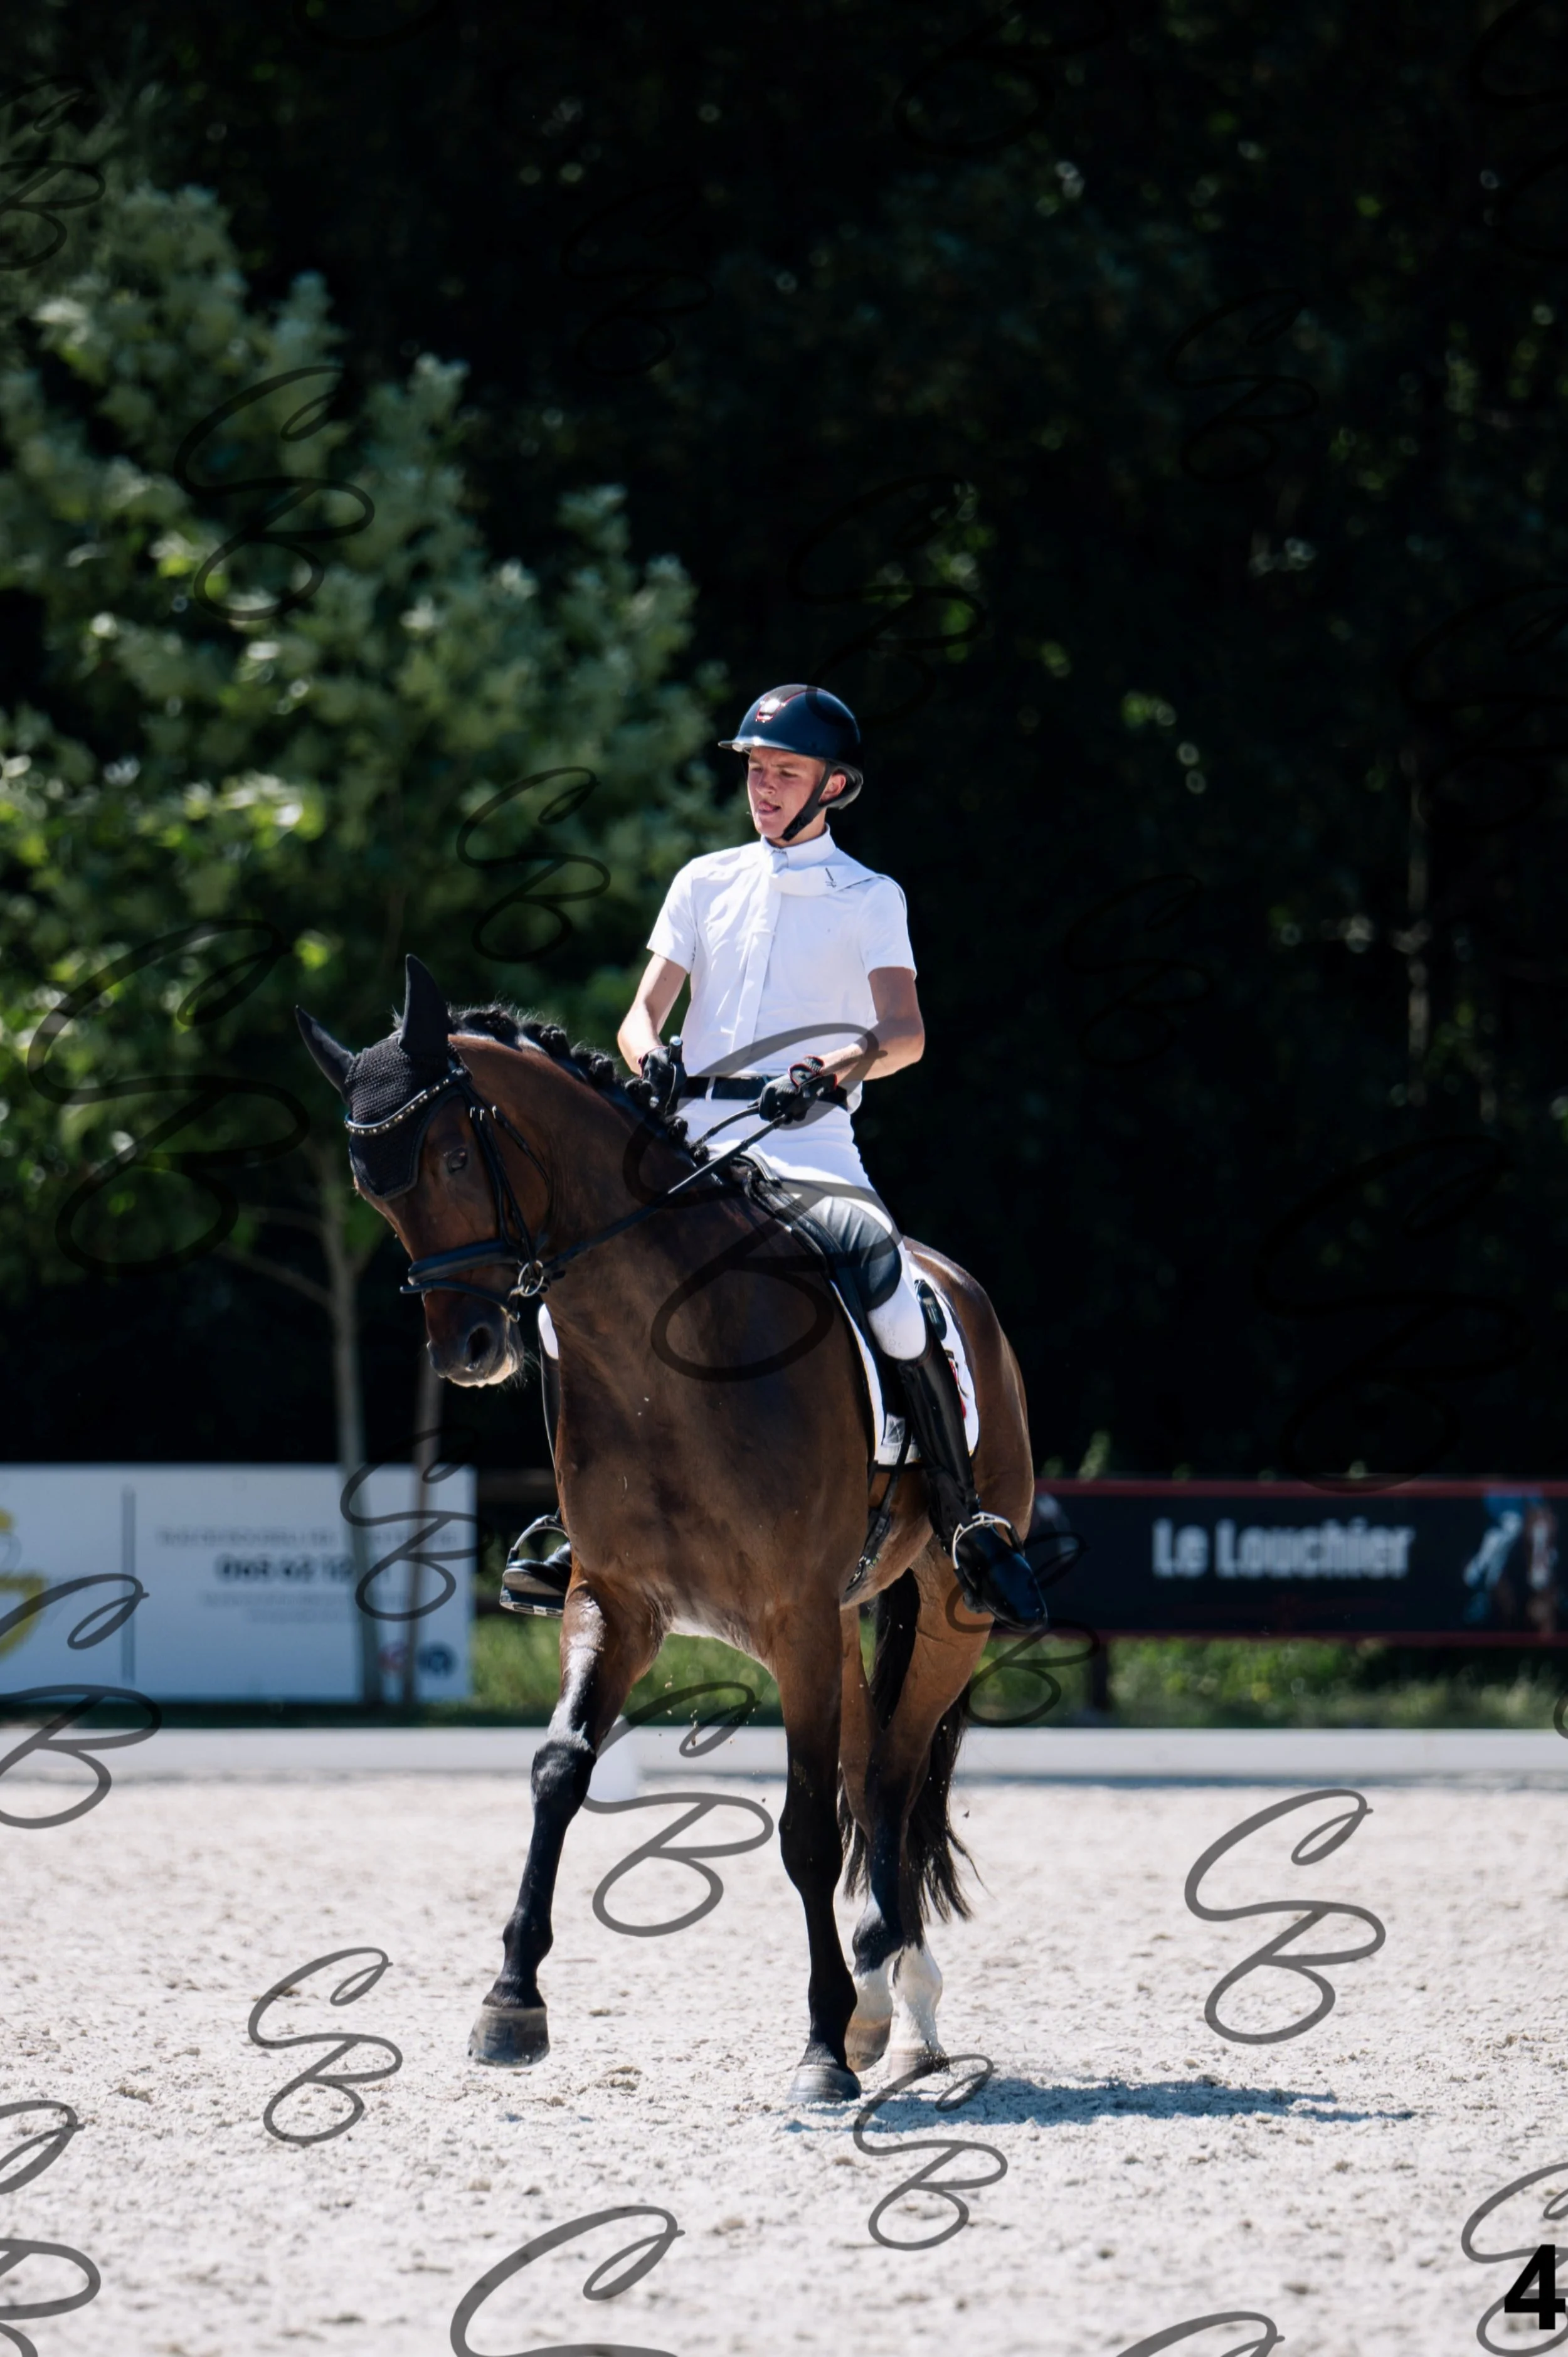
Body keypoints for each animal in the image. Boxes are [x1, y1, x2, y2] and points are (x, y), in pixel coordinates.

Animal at [297, 955, 1035, 2102]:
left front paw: (819, 2049)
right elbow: (558, 1769)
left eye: (456, 1155)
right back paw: (884, 2004)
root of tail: (954, 1282)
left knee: (890, 1778)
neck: (661, 1349)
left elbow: (806, 1830)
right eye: (376, 1189)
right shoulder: (619, 1599)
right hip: (842, 1621)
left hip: (948, 1611)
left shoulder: (792, 1616)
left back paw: (896, 2001)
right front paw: (510, 2002)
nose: (470, 1348)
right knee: (873, 1780)